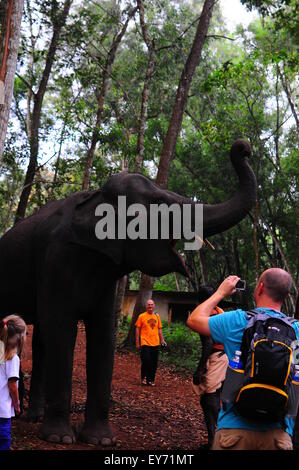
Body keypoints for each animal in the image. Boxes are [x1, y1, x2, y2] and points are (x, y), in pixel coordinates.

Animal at [0, 139, 258, 444]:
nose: (243, 147)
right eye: (160, 204)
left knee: (41, 338)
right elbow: (62, 330)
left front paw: (100, 440)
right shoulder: (56, 261)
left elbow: (103, 334)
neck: (94, 197)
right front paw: (60, 438)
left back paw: (34, 416)